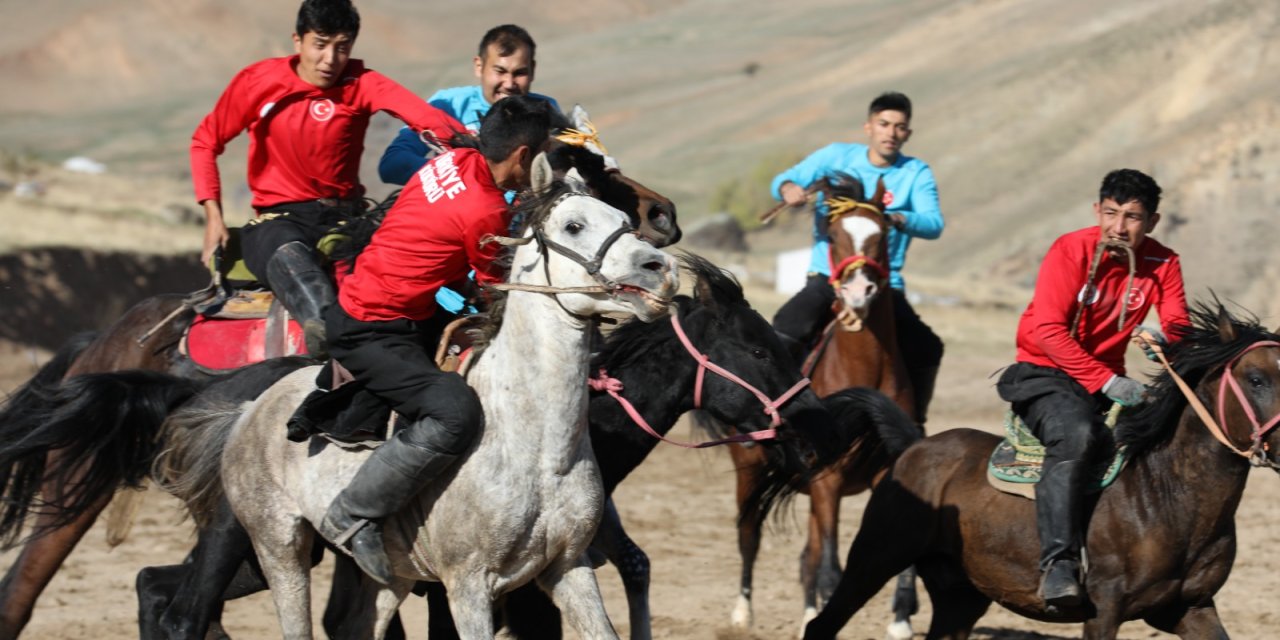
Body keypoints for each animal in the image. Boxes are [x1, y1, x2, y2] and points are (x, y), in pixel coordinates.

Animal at [0, 112, 680, 637]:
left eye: (614, 213)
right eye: (573, 224)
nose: (659, 262)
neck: (533, 442)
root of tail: (242, 408)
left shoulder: (567, 570)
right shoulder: (468, 584)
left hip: (371, 577)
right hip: (273, 547)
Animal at [721, 172, 921, 637]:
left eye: (884, 233)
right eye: (832, 235)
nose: (859, 290)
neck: (865, 371)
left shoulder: (883, 473)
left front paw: (901, 617)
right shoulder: (828, 481)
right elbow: (832, 567)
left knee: (807, 555)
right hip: (750, 471)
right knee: (750, 537)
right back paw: (743, 612)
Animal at [803, 300, 1280, 640]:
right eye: (1256, 379)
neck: (1166, 494)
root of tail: (913, 446)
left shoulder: (1190, 608)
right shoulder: (1105, 610)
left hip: (960, 595)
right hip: (874, 559)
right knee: (821, 624)